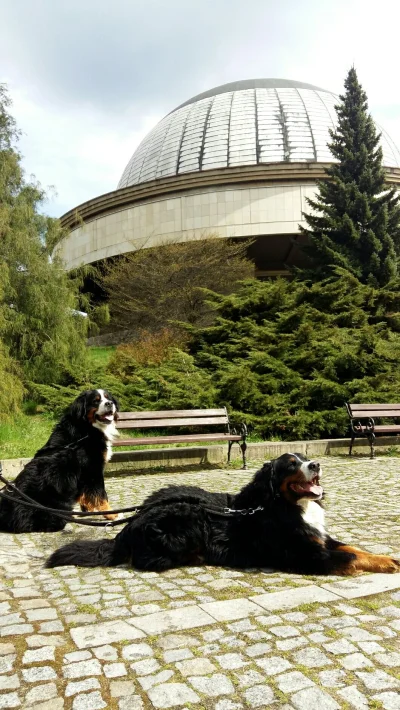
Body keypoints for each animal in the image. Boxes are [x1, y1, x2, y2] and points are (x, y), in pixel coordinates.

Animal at [0, 390, 119, 536]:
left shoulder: (84, 475)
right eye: (96, 401)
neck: (87, 430)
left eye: (108, 397)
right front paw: (112, 515)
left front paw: (88, 510)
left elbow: (86, 494)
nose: (110, 403)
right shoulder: (93, 469)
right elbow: (101, 495)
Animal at [47, 456, 400, 580]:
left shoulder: (319, 539)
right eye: (291, 464)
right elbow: (350, 559)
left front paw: (388, 559)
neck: (281, 505)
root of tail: (135, 520)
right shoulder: (309, 555)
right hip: (187, 519)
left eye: (304, 459)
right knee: (146, 560)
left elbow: (355, 549)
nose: (315, 465)